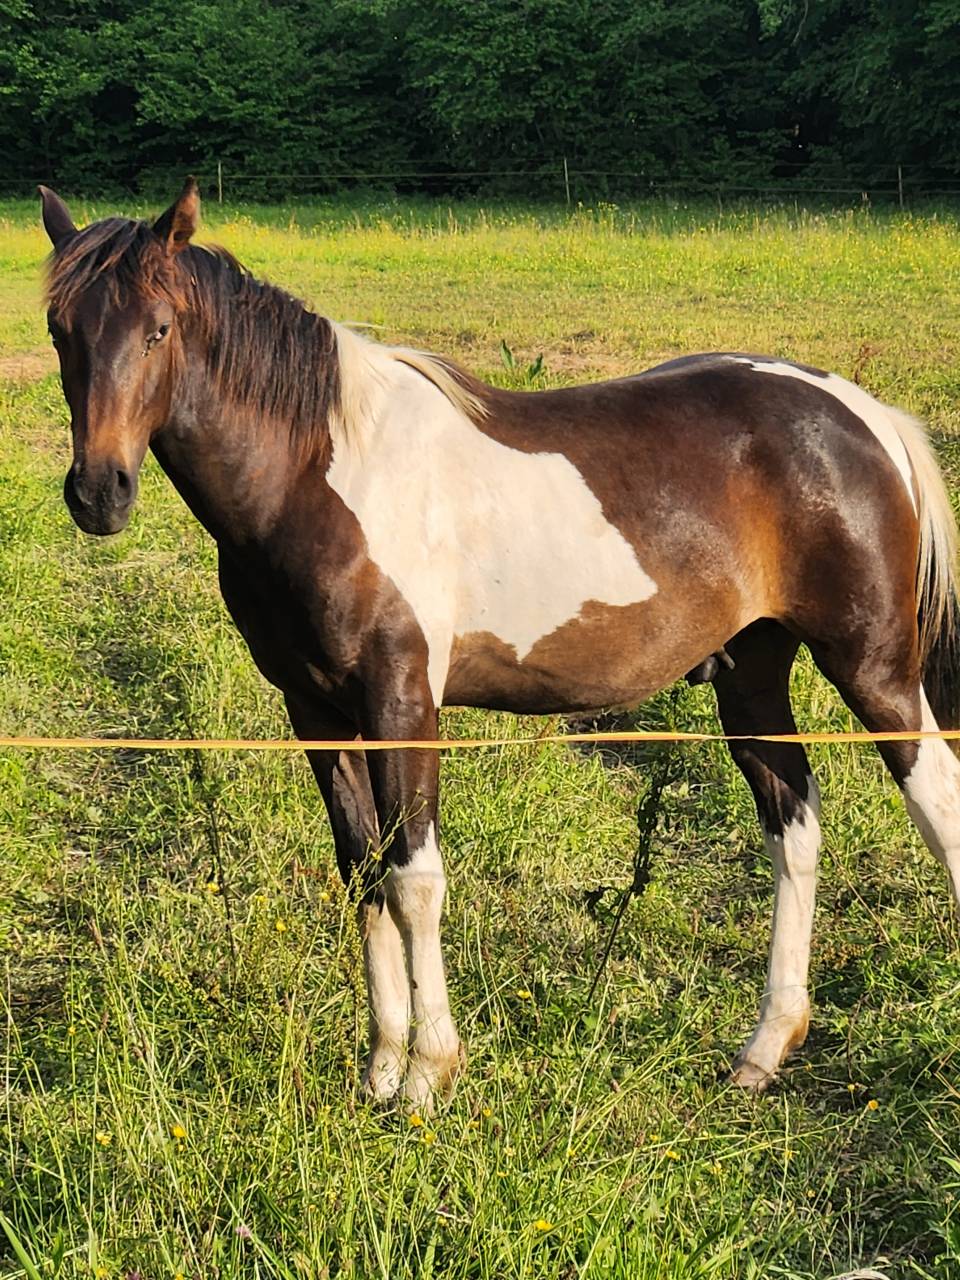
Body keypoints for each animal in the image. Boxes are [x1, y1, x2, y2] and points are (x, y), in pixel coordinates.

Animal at [38, 179, 960, 1110]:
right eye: (60, 330)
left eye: (159, 328)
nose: (99, 493)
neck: (319, 474)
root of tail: (862, 413)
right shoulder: (316, 710)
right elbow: (362, 871)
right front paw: (380, 1069)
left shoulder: (402, 702)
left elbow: (414, 878)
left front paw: (427, 1076)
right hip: (753, 676)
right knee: (794, 830)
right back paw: (764, 1050)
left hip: (875, 671)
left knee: (939, 806)